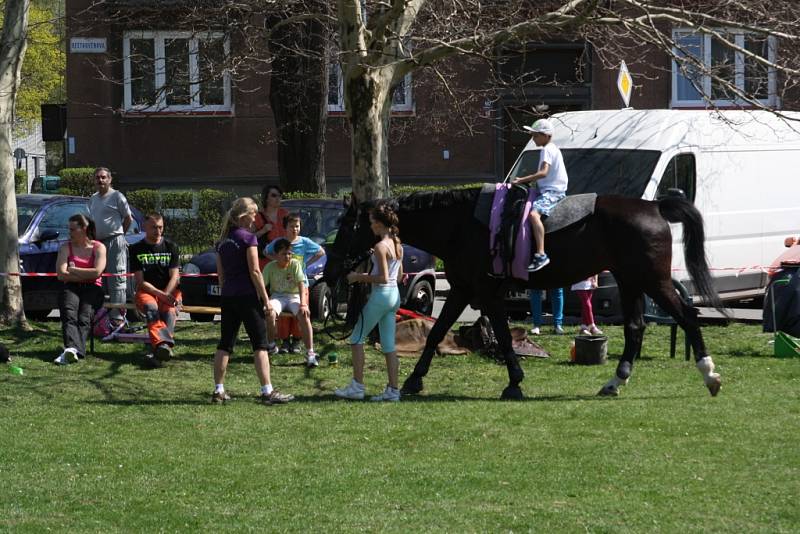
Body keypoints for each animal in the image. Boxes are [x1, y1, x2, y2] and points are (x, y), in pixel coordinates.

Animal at [324, 189, 724, 402]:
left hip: (651, 281)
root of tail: (655, 207)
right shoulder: (463, 290)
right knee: (636, 329)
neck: (460, 227)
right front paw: (414, 380)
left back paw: (709, 375)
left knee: (687, 318)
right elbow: (437, 332)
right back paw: (615, 381)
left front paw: (514, 381)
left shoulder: (485, 293)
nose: (329, 270)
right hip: (631, 283)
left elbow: (501, 336)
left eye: (347, 226)